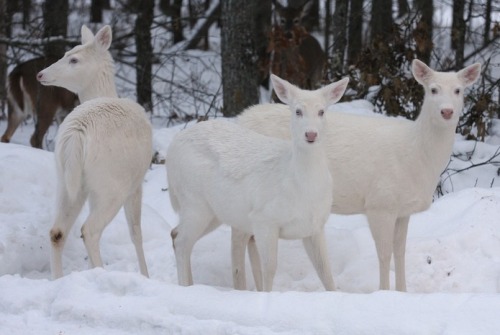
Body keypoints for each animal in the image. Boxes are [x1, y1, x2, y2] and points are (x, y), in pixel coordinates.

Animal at [36, 25, 152, 280]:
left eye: (73, 58)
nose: (40, 74)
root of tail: (77, 134)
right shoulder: (137, 181)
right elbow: (136, 232)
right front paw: (146, 275)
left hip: (67, 180)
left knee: (57, 231)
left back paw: (59, 279)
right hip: (113, 183)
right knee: (89, 230)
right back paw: (101, 273)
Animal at [167, 75, 348, 292]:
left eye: (322, 111)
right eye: (298, 111)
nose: (311, 134)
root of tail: (171, 149)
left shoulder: (315, 226)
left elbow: (325, 272)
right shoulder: (264, 218)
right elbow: (268, 269)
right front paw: (267, 295)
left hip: (216, 212)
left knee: (176, 234)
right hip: (194, 201)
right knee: (181, 242)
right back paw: (184, 287)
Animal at [236, 60, 482, 292]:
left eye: (458, 90)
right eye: (433, 90)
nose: (447, 111)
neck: (417, 156)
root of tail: (240, 118)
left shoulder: (403, 209)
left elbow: (400, 251)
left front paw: (403, 291)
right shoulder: (379, 202)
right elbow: (384, 253)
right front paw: (384, 291)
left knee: (251, 239)